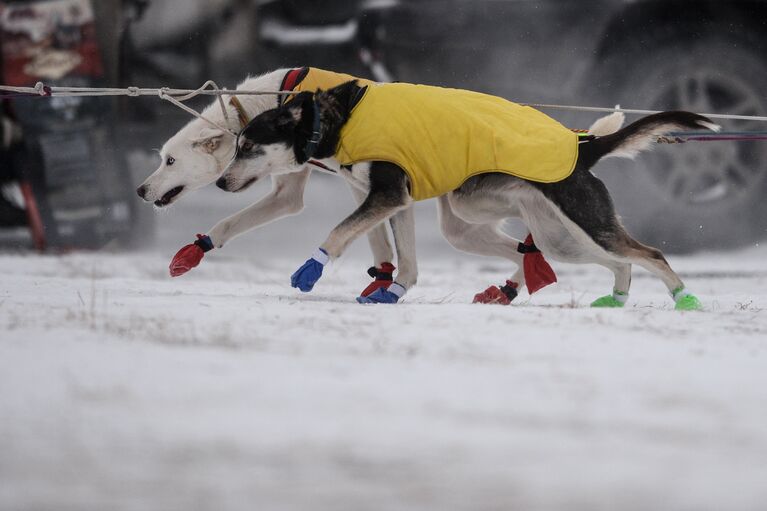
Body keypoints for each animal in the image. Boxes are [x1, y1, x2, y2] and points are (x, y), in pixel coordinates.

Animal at [219, 81, 724, 308]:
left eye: (247, 146)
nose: (222, 183)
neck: (337, 119)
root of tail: (582, 146)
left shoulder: (384, 196)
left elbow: (337, 233)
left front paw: (312, 268)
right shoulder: (397, 203)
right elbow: (407, 262)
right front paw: (393, 291)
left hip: (586, 222)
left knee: (649, 253)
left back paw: (683, 297)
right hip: (552, 233)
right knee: (614, 260)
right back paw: (614, 298)